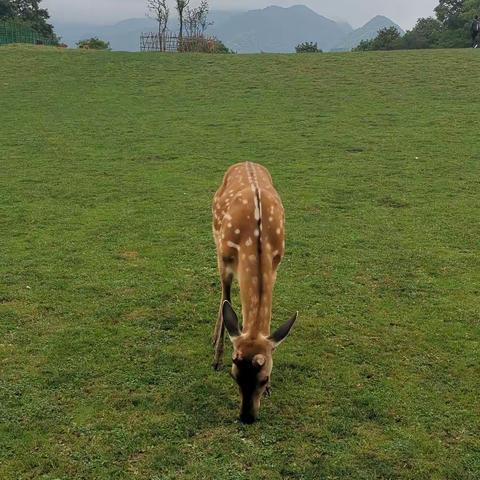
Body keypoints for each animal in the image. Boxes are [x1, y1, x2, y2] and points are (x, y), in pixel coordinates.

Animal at [213, 162, 298, 424]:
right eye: (234, 376)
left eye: (265, 378)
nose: (246, 417)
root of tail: (246, 162)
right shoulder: (224, 259)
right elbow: (226, 300)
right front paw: (216, 358)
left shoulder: (276, 264)